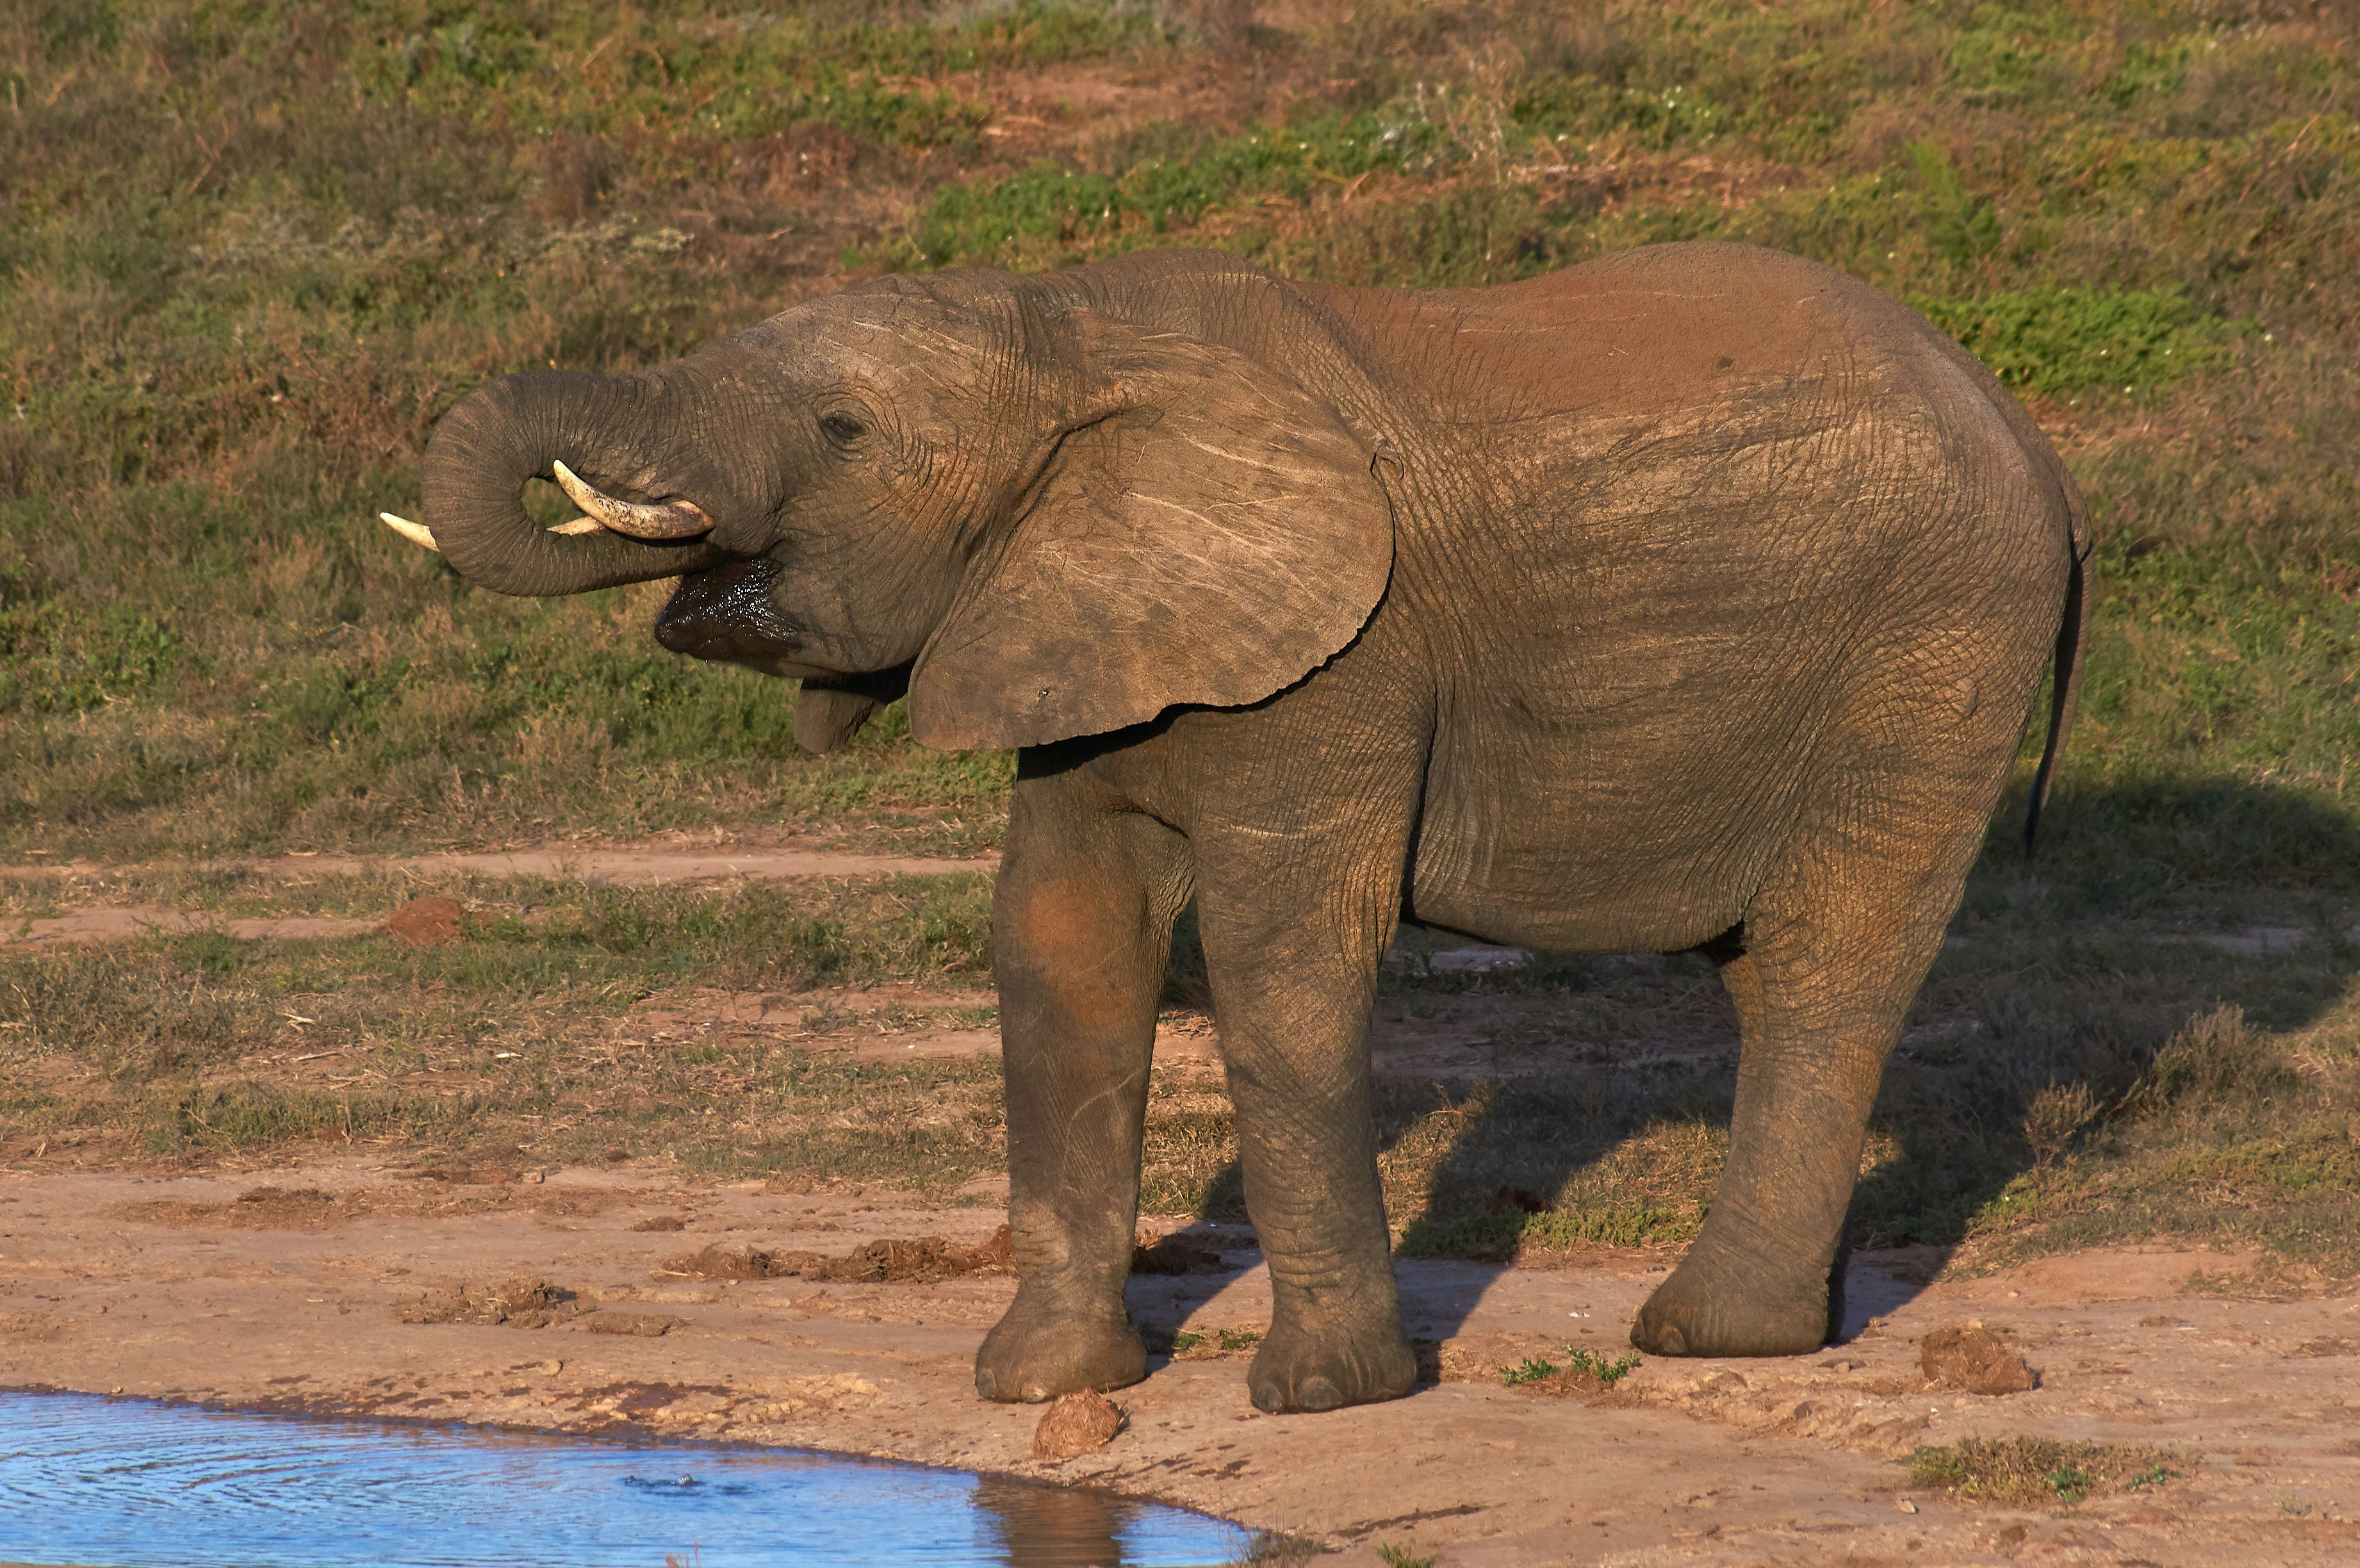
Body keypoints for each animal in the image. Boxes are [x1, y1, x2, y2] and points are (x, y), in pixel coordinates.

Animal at [380, 241, 2086, 1415]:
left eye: (842, 427)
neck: (1077, 337)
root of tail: (2030, 436)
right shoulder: (1077, 616)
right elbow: (1059, 951)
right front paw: (1037, 1388)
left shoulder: (1351, 652)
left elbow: (1282, 968)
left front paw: (1322, 1400)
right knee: (1776, 970)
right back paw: (1794, 1318)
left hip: (1932, 649)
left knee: (1829, 959)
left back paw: (1706, 1335)